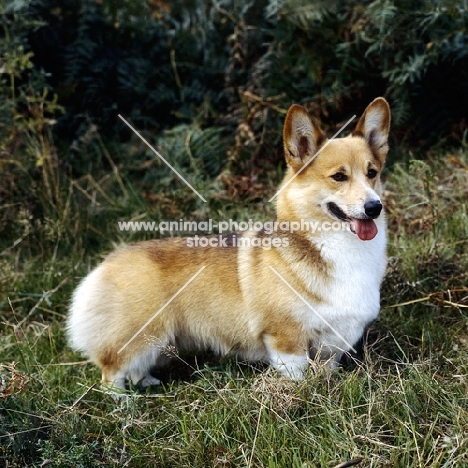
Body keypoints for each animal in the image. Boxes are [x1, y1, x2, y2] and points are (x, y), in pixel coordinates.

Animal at [67, 98, 392, 392]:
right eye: (339, 176)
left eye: (372, 173)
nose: (374, 207)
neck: (337, 248)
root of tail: (106, 263)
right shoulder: (286, 339)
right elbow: (298, 376)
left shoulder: (332, 345)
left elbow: (326, 370)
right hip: (140, 338)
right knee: (112, 375)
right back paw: (126, 405)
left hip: (158, 342)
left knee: (136, 370)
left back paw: (148, 383)